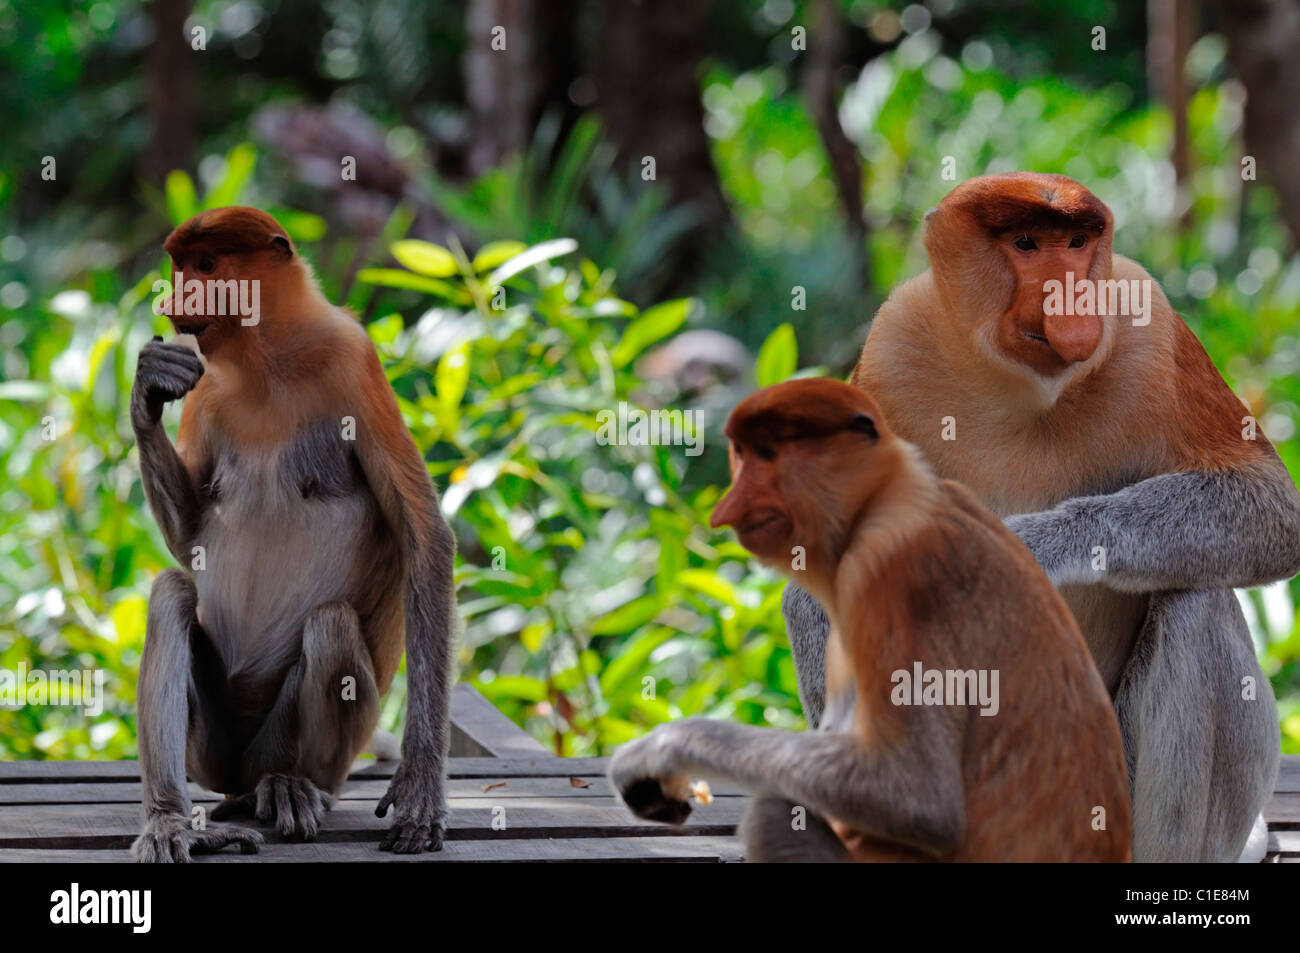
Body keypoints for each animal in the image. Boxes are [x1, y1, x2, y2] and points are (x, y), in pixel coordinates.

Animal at [130, 204, 457, 858]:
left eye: (208, 265)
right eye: (181, 266)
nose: (175, 296)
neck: (267, 356)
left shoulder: (353, 360)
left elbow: (423, 535)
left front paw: (421, 791)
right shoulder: (208, 388)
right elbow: (191, 539)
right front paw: (150, 383)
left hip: (306, 746)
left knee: (331, 627)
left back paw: (289, 786)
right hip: (212, 751)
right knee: (171, 593)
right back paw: (172, 820)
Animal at [608, 379, 1128, 863]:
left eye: (769, 455)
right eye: (742, 455)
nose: (727, 509)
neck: (887, 497)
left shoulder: (887, 574)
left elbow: (918, 798)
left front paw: (662, 751)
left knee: (774, 810)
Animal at [780, 171, 1300, 863]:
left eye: (1077, 244)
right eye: (1027, 244)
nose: (1072, 301)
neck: (1020, 388)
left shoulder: (1152, 326)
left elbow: (1270, 504)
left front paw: (1030, 546)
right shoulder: (890, 349)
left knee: (1197, 607)